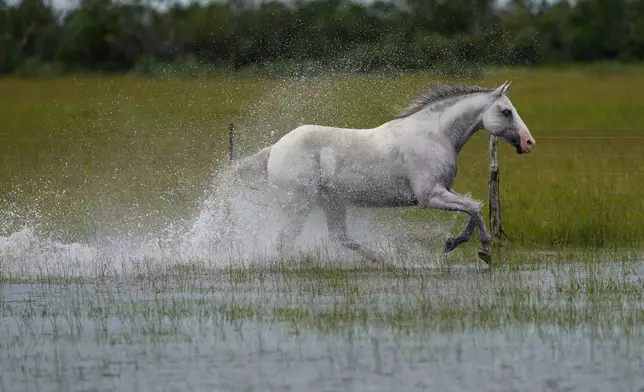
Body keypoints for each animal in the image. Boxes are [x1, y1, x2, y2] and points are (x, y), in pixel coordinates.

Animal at [230, 81, 532, 264]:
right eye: (506, 111)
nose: (529, 142)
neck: (435, 134)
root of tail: (274, 149)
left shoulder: (442, 190)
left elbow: (473, 205)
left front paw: (453, 243)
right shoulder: (430, 196)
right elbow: (474, 207)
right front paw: (484, 251)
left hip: (332, 202)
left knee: (340, 237)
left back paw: (382, 259)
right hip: (298, 204)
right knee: (284, 239)